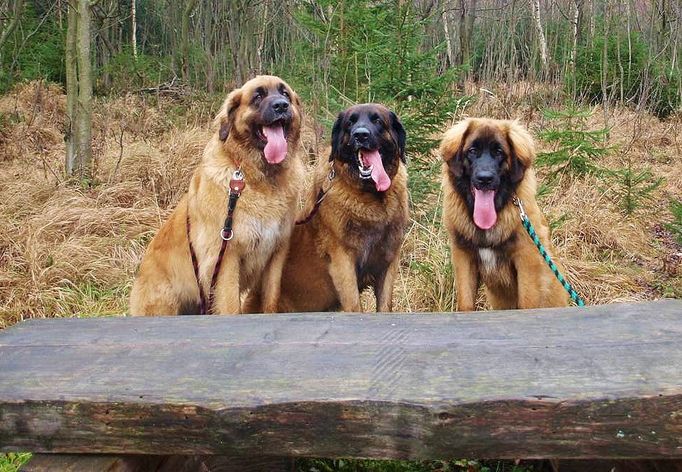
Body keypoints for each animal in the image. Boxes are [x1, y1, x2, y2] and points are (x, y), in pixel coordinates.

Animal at [129, 75, 302, 316]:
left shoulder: (276, 254)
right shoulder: (226, 258)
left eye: (285, 94)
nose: (281, 106)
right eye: (258, 96)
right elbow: (230, 306)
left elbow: (270, 301)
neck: (257, 177)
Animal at [438, 117, 564, 310]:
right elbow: (466, 303)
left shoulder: (526, 258)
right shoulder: (463, 256)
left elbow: (527, 302)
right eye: (472, 151)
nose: (485, 179)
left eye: (499, 152)